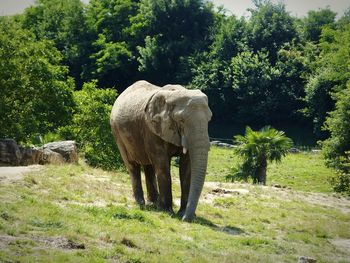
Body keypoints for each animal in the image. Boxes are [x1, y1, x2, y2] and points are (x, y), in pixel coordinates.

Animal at [110, 80, 212, 223]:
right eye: (181, 121)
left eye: (209, 120)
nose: (186, 219)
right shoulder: (152, 129)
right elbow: (162, 165)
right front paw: (167, 211)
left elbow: (186, 168)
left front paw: (181, 213)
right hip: (117, 133)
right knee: (132, 165)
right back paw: (141, 204)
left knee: (148, 166)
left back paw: (153, 203)